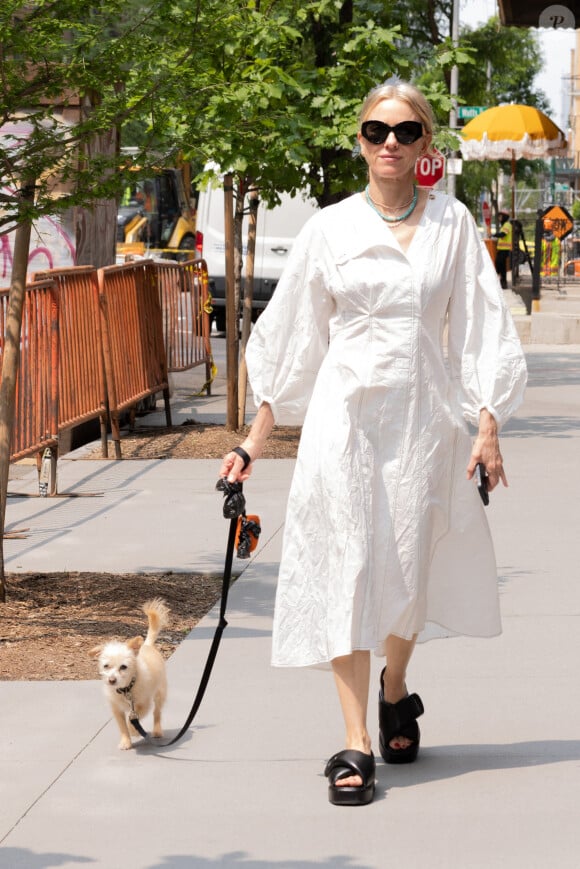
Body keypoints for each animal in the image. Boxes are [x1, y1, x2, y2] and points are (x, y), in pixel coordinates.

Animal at [89, 596, 169, 744]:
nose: (111, 680)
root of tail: (147, 645)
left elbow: (132, 720)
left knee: (157, 713)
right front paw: (126, 742)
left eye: (123, 667)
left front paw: (134, 731)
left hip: (159, 694)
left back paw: (157, 731)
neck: (126, 689)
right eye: (106, 666)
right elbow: (122, 726)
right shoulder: (116, 709)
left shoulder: (143, 705)